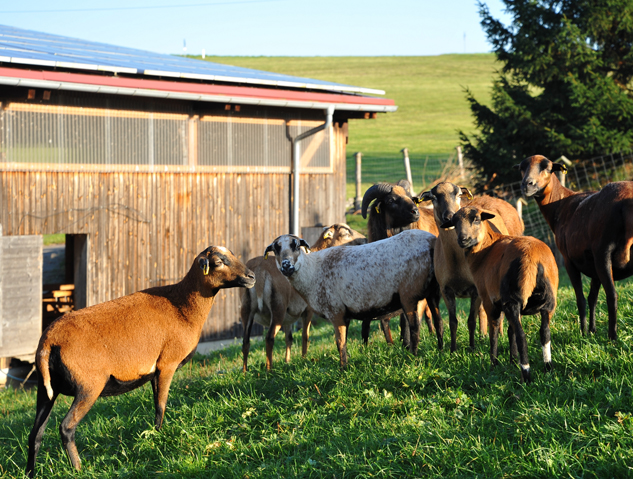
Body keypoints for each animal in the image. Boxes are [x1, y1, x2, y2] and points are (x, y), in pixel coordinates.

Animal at [25, 246, 254, 478]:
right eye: (218, 262)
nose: (251, 277)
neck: (182, 307)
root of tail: (48, 341)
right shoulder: (167, 364)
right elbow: (161, 405)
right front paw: (160, 437)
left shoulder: (154, 371)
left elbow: (155, 404)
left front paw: (154, 434)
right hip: (88, 386)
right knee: (66, 427)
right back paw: (79, 469)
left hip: (47, 389)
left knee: (35, 434)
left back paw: (30, 473)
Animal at [264, 230, 442, 368]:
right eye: (275, 249)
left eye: (296, 245)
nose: (286, 266)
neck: (312, 271)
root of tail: (432, 241)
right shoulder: (345, 315)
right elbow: (344, 342)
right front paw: (346, 365)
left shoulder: (335, 311)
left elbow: (339, 343)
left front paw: (343, 369)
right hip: (432, 291)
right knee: (438, 321)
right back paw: (441, 350)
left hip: (409, 293)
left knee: (415, 327)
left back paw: (413, 356)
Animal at [440, 206, 556, 382]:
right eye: (454, 222)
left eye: (476, 219)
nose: (463, 239)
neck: (485, 250)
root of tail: (535, 259)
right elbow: (510, 332)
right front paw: (512, 360)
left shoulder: (489, 301)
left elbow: (493, 333)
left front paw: (493, 364)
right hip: (548, 303)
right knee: (544, 332)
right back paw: (547, 367)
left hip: (512, 301)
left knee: (522, 336)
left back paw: (526, 374)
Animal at [512, 155, 632, 342]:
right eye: (521, 168)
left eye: (547, 167)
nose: (527, 184)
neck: (559, 204)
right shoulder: (592, 265)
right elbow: (592, 298)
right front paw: (592, 330)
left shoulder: (569, 261)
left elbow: (581, 299)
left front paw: (583, 333)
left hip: (603, 252)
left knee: (612, 296)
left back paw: (612, 337)